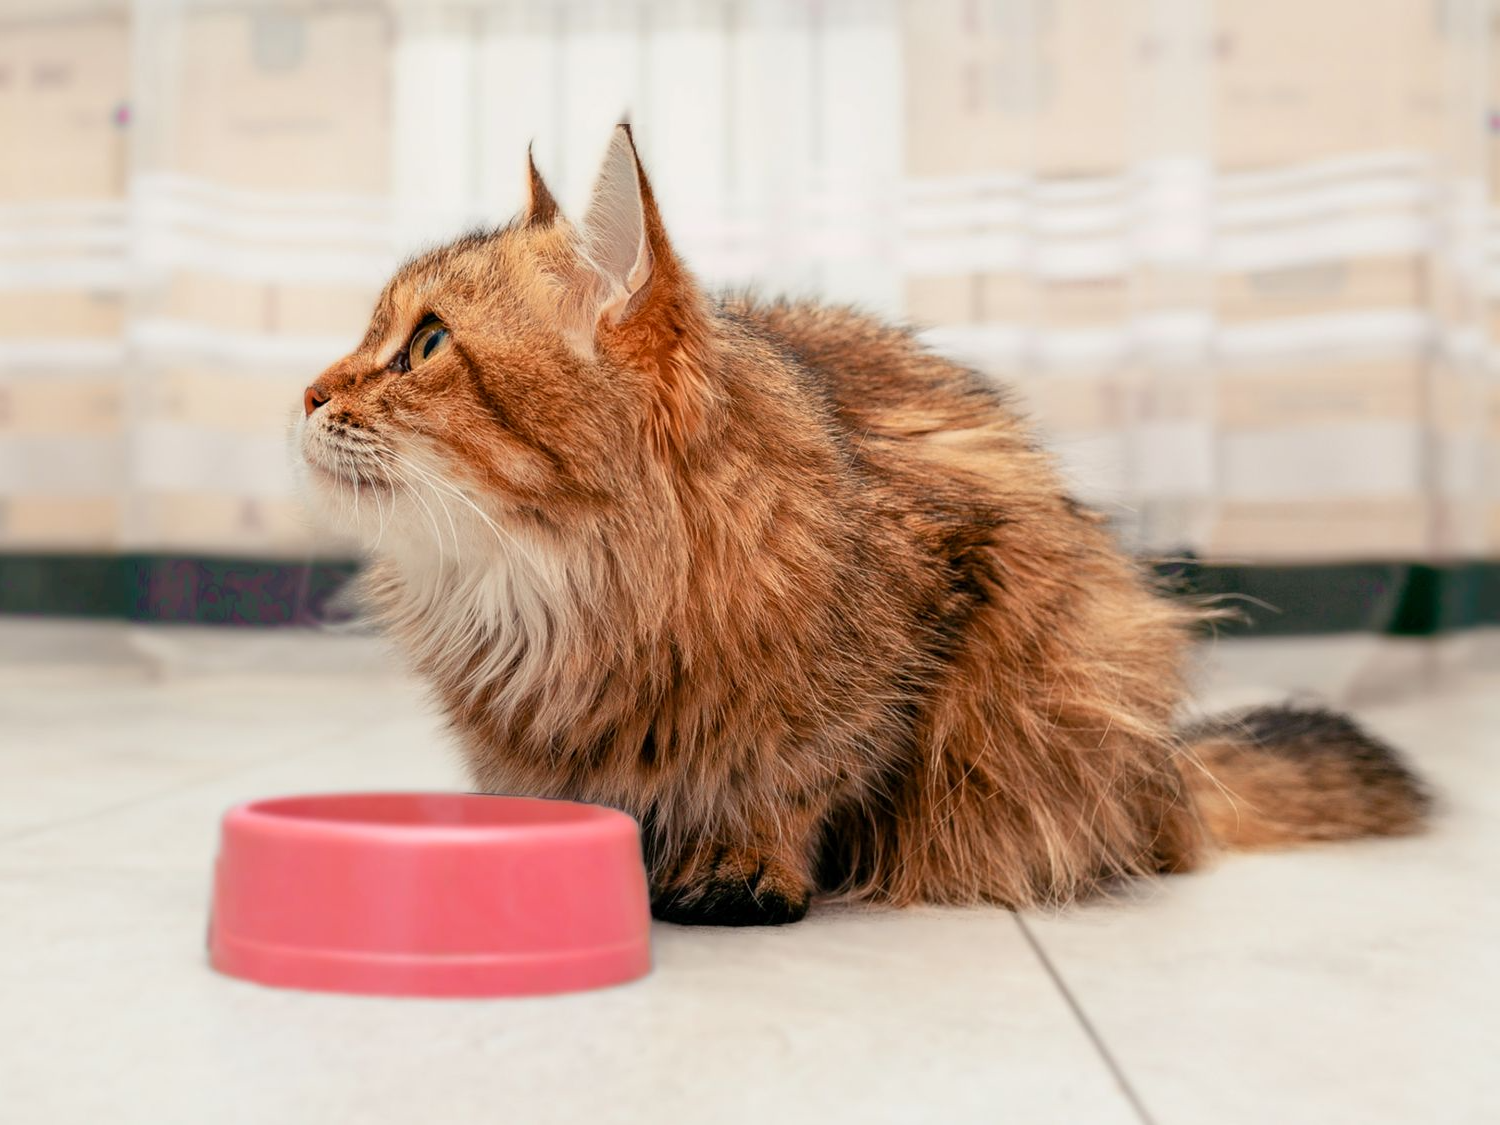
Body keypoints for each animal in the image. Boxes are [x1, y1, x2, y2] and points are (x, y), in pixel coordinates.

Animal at [292, 127, 1428, 930]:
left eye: (425, 344)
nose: (306, 392)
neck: (552, 586)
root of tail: (1174, 777)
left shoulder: (934, 606)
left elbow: (807, 774)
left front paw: (745, 864)